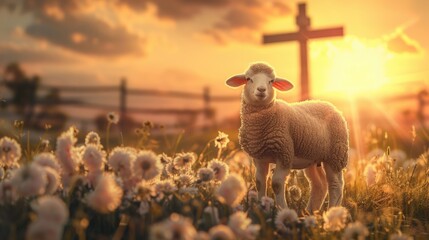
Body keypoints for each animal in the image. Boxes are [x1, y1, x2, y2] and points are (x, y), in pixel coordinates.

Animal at [224, 62, 348, 212]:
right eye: (249, 79)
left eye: (271, 81)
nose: (261, 89)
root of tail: (329, 105)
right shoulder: (259, 158)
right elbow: (260, 182)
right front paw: (261, 208)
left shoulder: (284, 153)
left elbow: (277, 184)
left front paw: (281, 209)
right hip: (313, 156)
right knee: (319, 184)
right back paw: (309, 212)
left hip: (336, 155)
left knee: (336, 184)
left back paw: (332, 210)